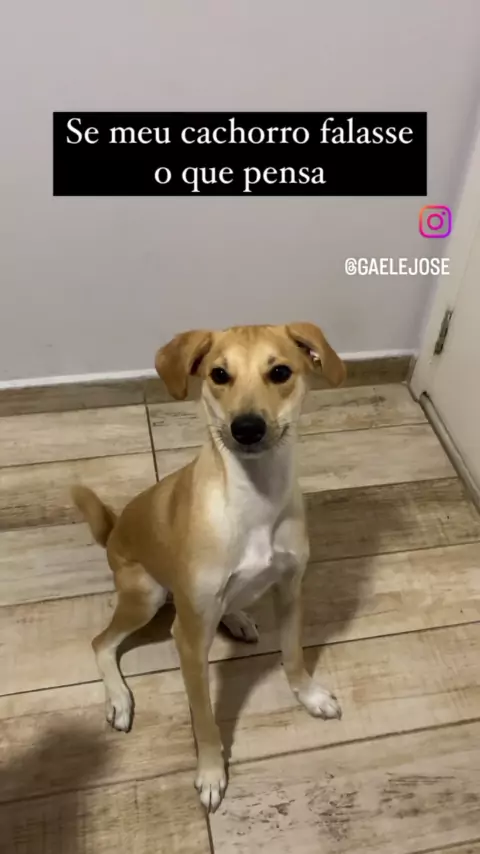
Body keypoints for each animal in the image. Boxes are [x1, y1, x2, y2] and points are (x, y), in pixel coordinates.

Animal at [72, 322, 346, 812]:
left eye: (280, 371)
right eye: (219, 374)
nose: (247, 428)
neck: (255, 499)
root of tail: (113, 531)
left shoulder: (291, 588)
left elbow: (294, 654)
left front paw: (309, 695)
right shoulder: (188, 638)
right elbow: (202, 716)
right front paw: (211, 773)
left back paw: (236, 617)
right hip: (147, 594)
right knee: (101, 643)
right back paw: (119, 698)